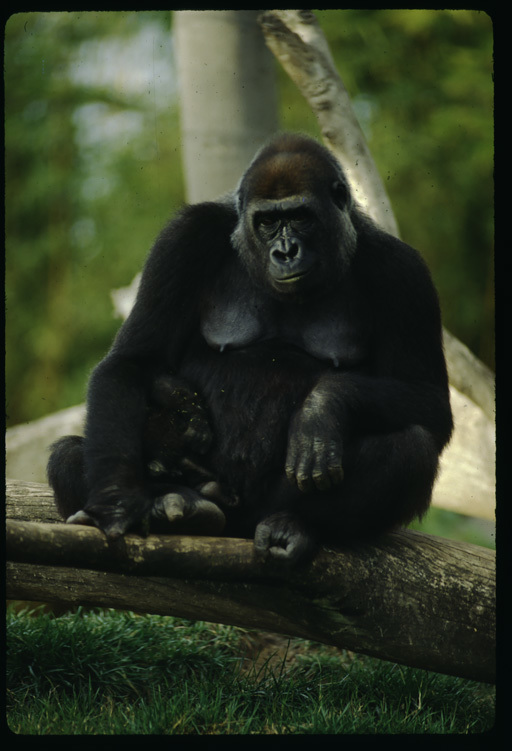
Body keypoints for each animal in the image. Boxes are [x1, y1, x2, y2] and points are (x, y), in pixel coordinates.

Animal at [46, 134, 450, 564]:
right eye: (268, 222)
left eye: (301, 216)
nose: (286, 252)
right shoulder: (184, 237)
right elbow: (133, 362)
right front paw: (117, 499)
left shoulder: (404, 272)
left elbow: (429, 402)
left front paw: (322, 410)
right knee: (68, 455)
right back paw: (182, 506)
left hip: (258, 509)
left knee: (411, 448)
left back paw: (291, 525)